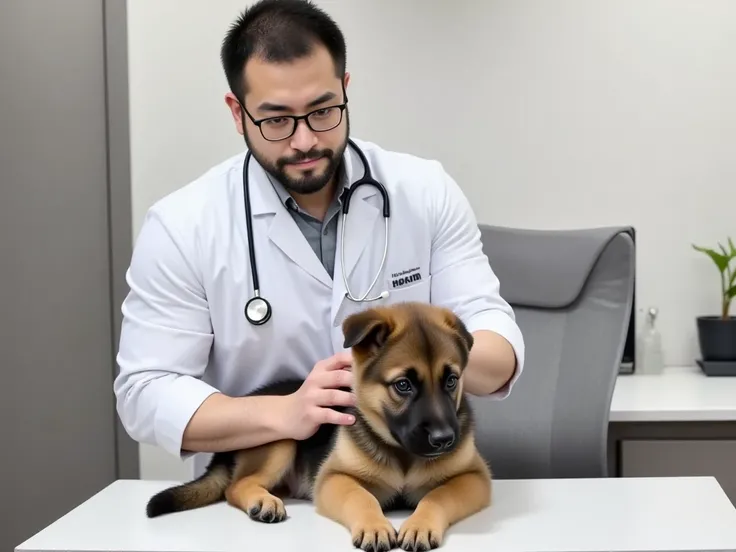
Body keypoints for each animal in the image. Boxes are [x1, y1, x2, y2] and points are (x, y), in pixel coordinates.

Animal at [144, 302, 492, 552]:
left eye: (451, 381)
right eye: (403, 385)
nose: (444, 439)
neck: (402, 455)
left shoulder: (473, 478)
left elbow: (437, 496)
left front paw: (420, 524)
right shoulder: (334, 477)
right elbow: (361, 497)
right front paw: (374, 525)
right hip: (283, 436)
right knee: (236, 485)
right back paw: (262, 501)